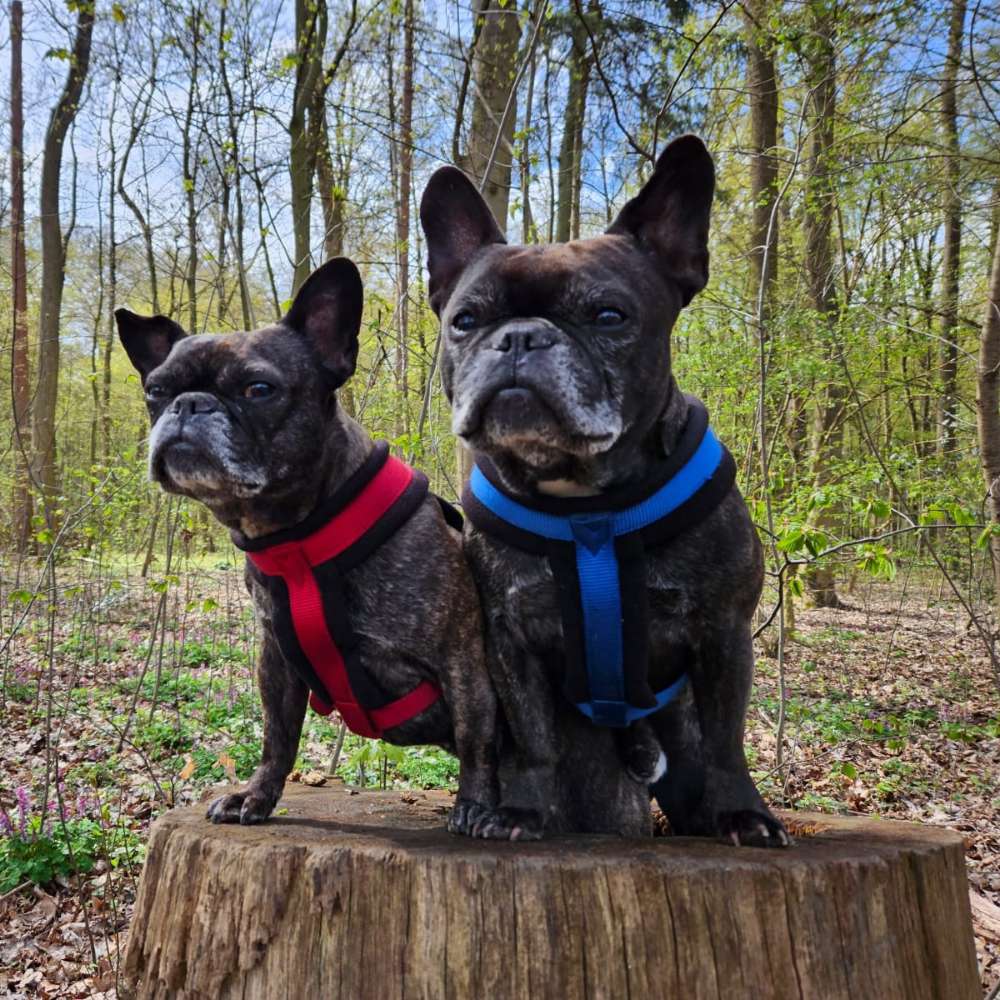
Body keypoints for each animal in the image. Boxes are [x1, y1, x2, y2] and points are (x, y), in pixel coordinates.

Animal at [420, 133, 788, 844]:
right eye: (465, 320)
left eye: (609, 316)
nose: (520, 336)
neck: (587, 505)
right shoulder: (509, 638)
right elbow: (533, 739)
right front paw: (521, 812)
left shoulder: (725, 630)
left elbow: (728, 740)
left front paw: (747, 814)